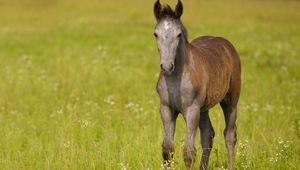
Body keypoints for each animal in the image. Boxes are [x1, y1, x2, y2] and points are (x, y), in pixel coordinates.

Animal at [152, 0, 241, 169]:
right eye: (156, 34)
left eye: (179, 34)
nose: (166, 66)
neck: (176, 78)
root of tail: (228, 45)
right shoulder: (166, 108)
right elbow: (167, 149)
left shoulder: (192, 110)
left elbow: (189, 152)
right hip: (204, 108)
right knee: (208, 135)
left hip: (231, 100)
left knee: (230, 135)